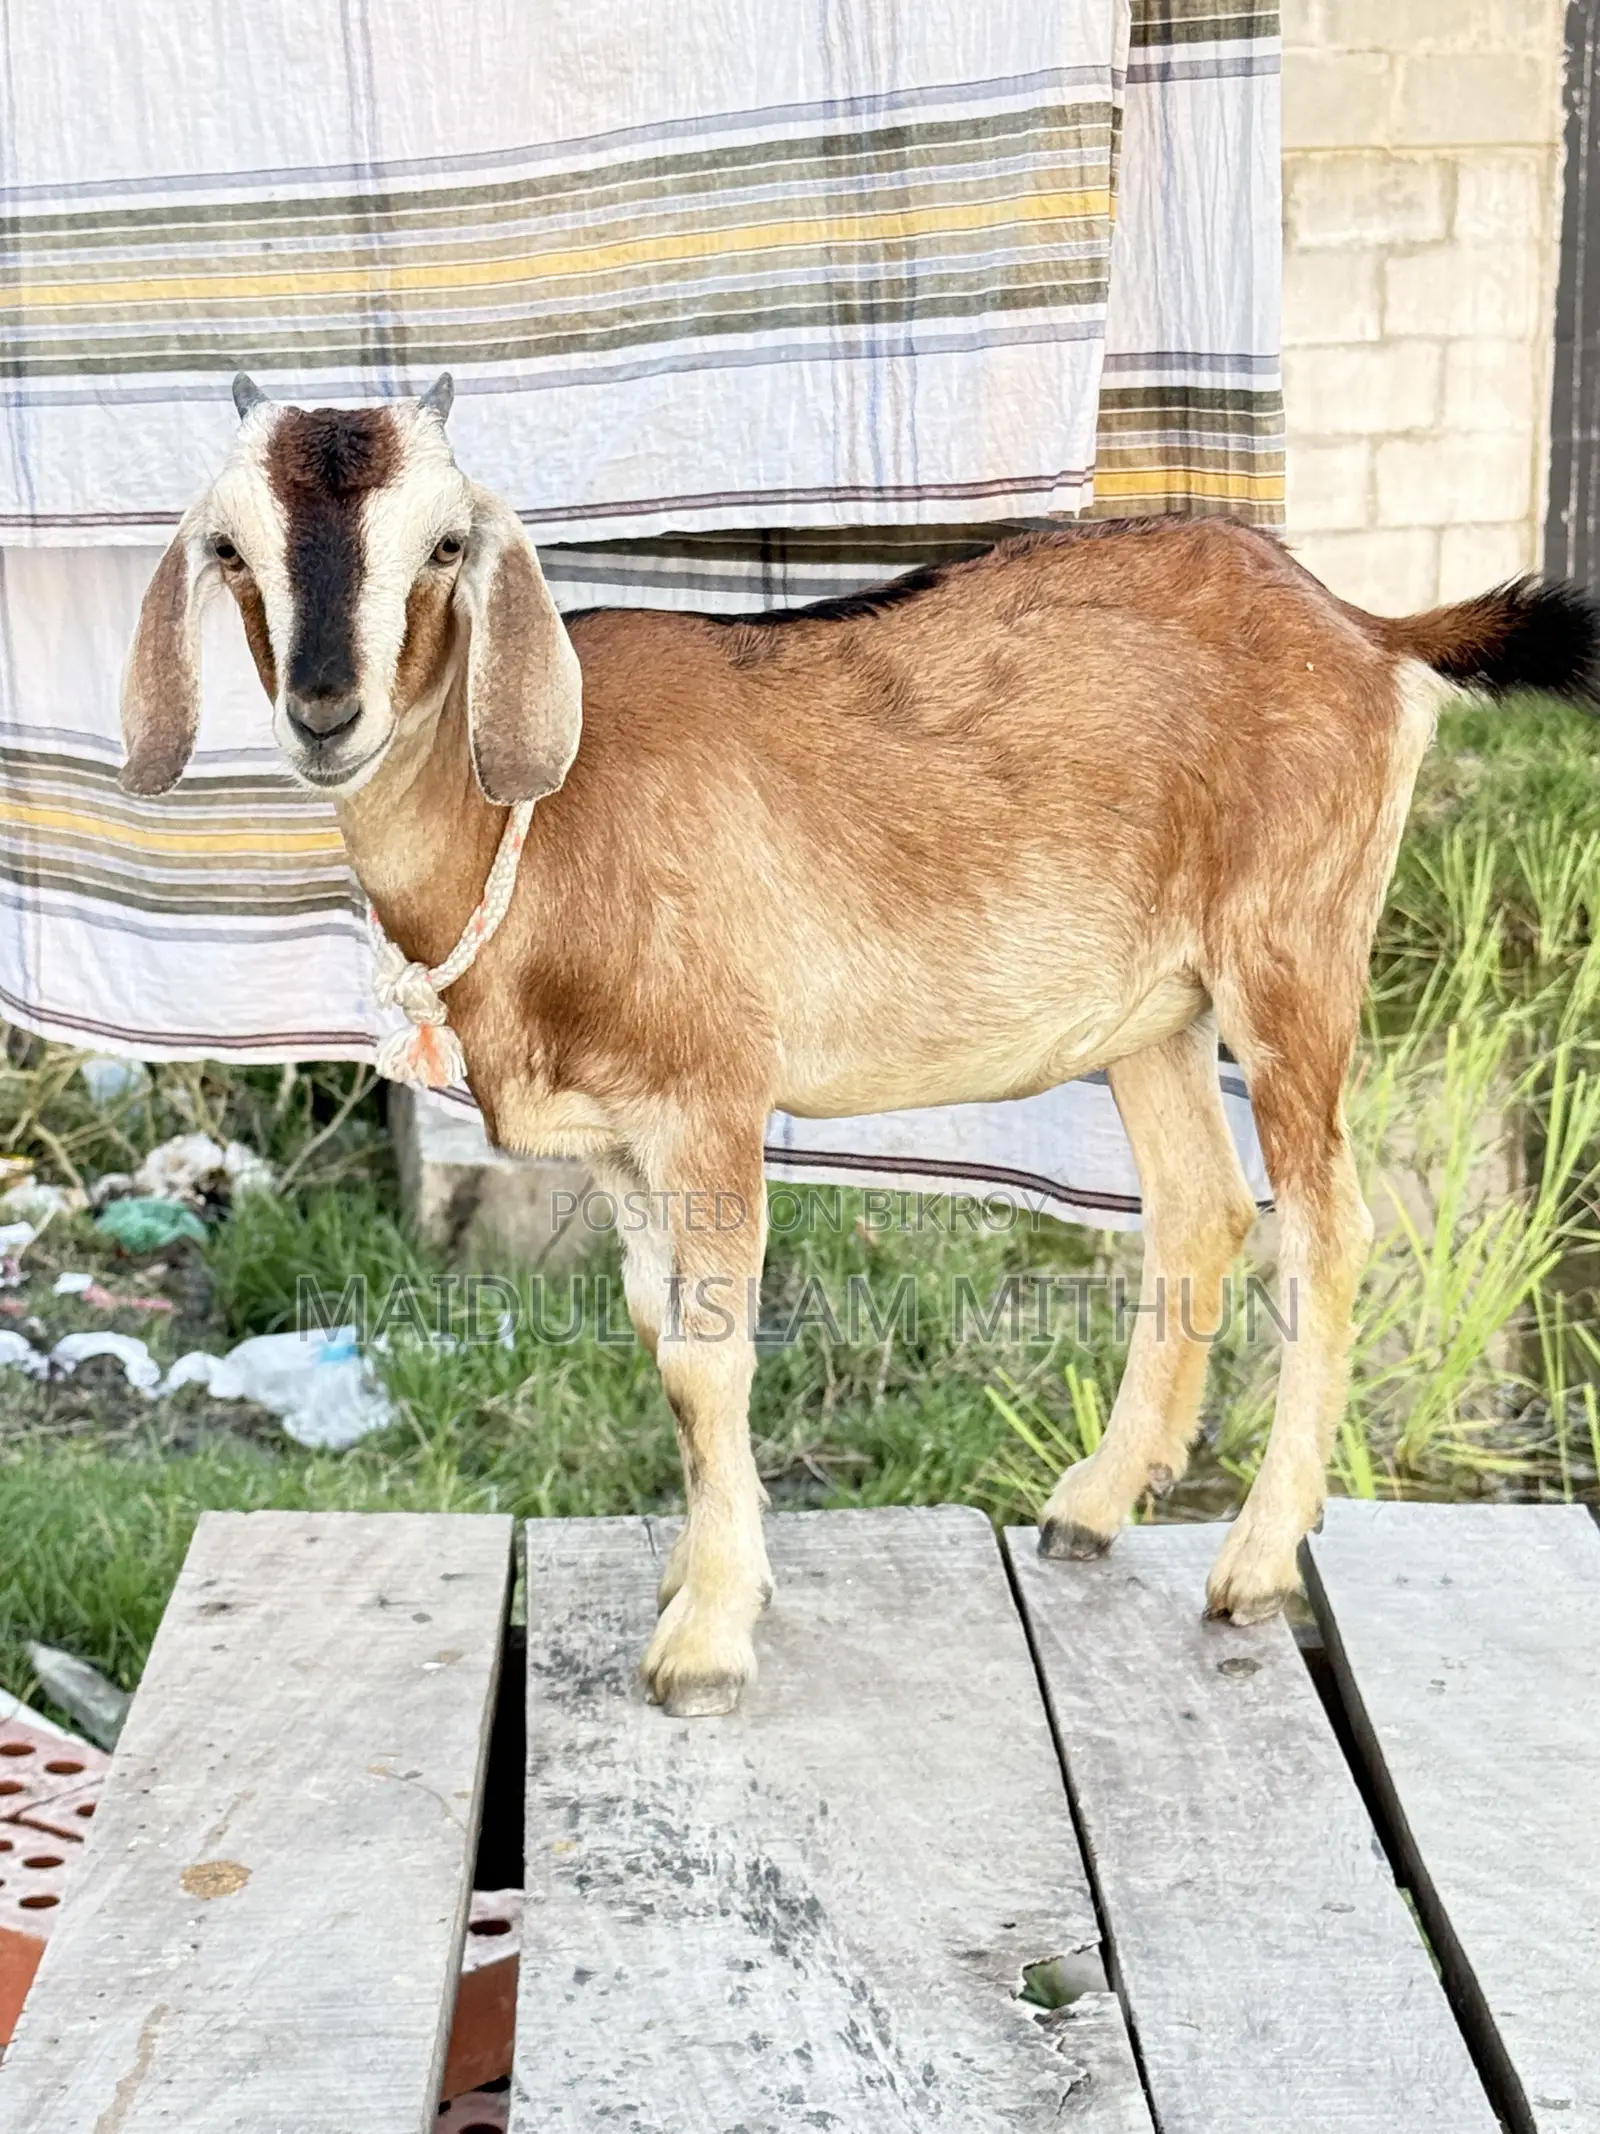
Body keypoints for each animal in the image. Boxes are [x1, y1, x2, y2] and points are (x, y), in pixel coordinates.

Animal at [121, 375, 1600, 1715]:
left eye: (442, 545)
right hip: (1156, 1008)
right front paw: (706, 1571)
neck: (533, 828)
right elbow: (659, 1337)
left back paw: (1254, 1558)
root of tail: (1359, 622)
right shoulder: (617, 1147)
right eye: (233, 548)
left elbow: (706, 1354)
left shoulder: (712, 1098)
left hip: (1293, 956)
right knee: (1201, 1207)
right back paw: (1093, 1504)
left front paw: (707, 1641)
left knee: (1328, 1226)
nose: (327, 711)